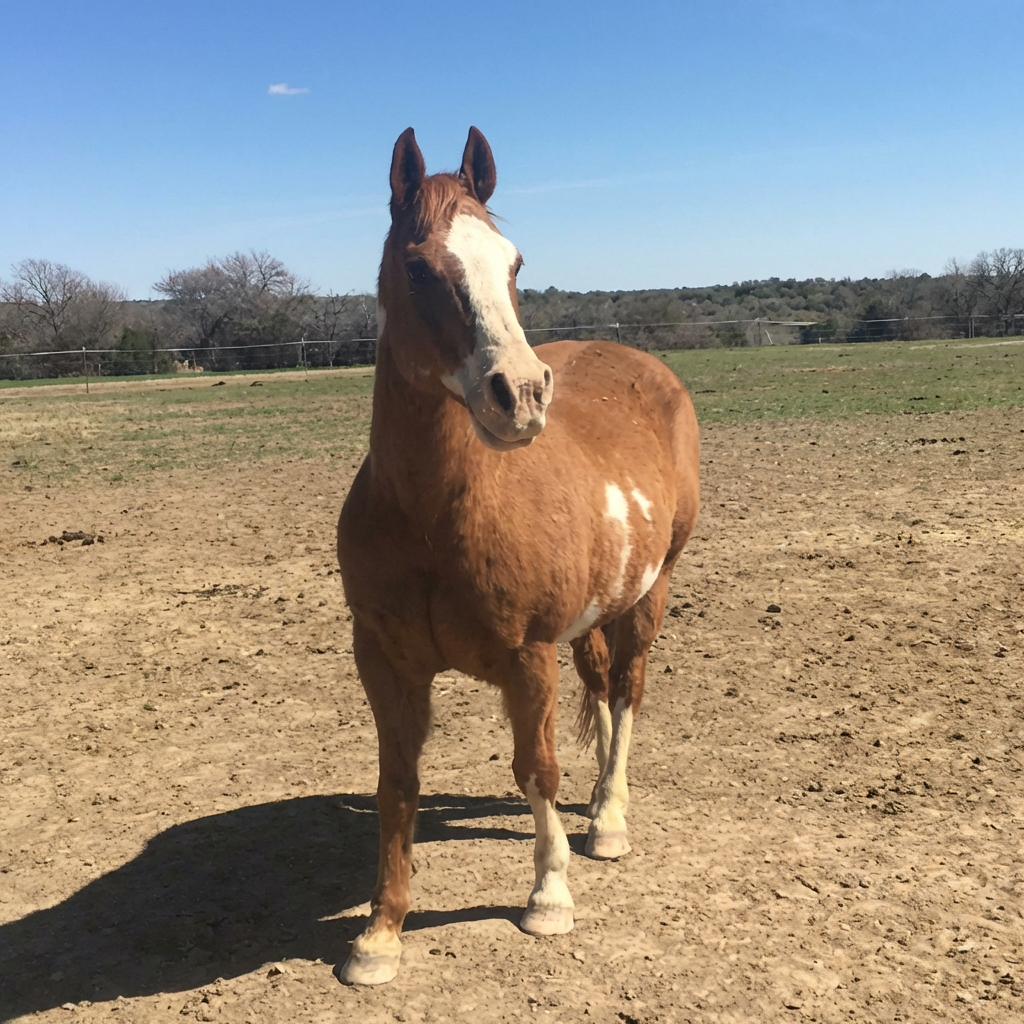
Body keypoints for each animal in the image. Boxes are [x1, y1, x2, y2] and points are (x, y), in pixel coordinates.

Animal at [336, 126, 700, 985]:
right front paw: (381, 932)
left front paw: (549, 897)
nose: (523, 395)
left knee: (627, 693)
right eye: (417, 266)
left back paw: (608, 818)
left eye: (515, 262)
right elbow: (397, 784)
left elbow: (536, 769)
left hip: (650, 594)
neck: (435, 516)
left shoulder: (528, 658)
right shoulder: (384, 662)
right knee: (601, 685)